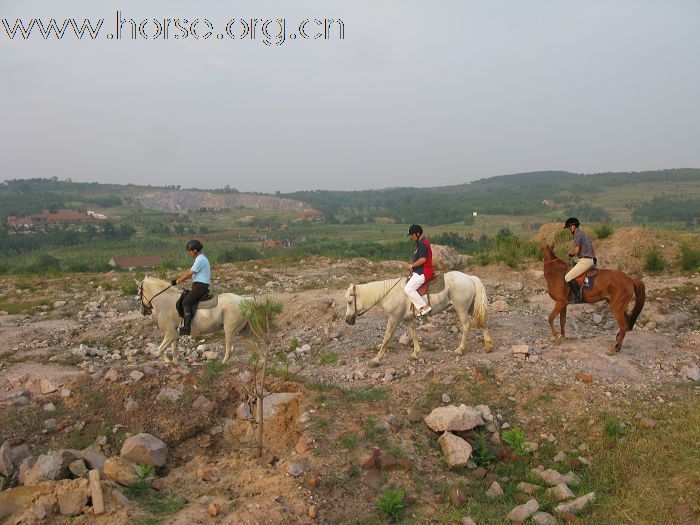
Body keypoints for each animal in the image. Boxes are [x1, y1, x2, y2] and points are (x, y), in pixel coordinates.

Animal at [344, 270, 492, 364]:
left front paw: (377, 359)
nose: (347, 320)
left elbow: (387, 337)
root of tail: (470, 278)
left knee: (466, 327)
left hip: (461, 309)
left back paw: (459, 350)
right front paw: (415, 353)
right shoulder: (407, 319)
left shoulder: (394, 318)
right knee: (483, 322)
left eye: (350, 302)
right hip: (471, 308)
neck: (389, 293)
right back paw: (488, 346)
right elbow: (413, 334)